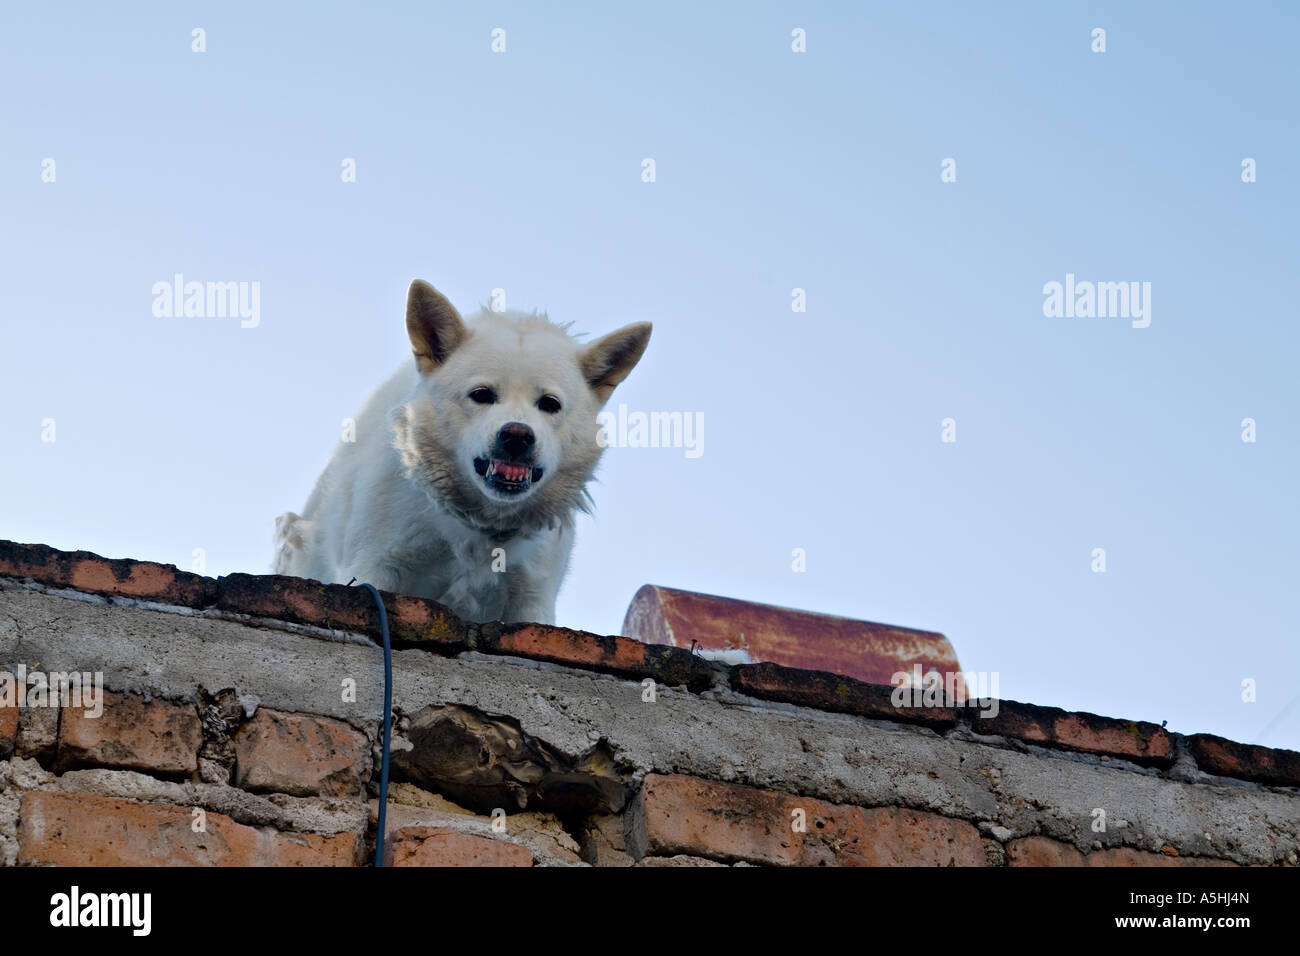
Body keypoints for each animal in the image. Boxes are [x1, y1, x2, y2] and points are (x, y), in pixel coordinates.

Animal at [278, 280, 655, 624]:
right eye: (482, 394)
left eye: (550, 404)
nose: (517, 436)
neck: (480, 526)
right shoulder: (373, 567)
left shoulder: (532, 598)